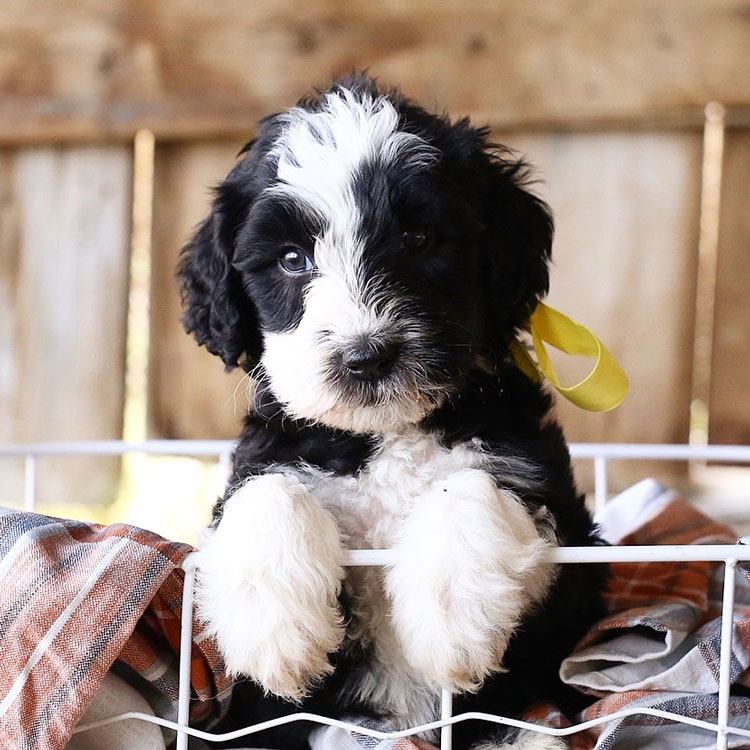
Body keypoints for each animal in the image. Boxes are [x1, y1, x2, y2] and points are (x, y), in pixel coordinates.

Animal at [179, 72, 608, 750]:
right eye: (292, 259)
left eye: (419, 238)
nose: (366, 355)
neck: (387, 434)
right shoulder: (269, 453)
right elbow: (266, 490)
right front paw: (276, 630)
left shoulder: (571, 551)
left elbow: (471, 483)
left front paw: (454, 618)